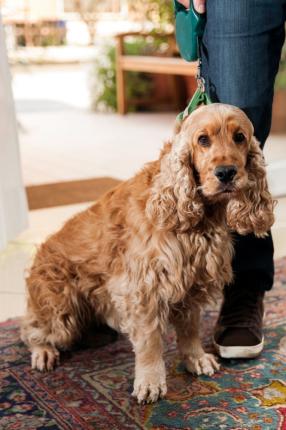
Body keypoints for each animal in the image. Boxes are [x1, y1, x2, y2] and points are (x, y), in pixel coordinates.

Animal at [20, 103, 274, 404]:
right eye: (203, 140)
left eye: (239, 137)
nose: (226, 173)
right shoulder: (143, 288)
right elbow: (150, 341)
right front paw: (150, 382)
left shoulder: (191, 284)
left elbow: (190, 329)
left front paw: (196, 358)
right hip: (61, 308)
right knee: (32, 328)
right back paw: (43, 351)